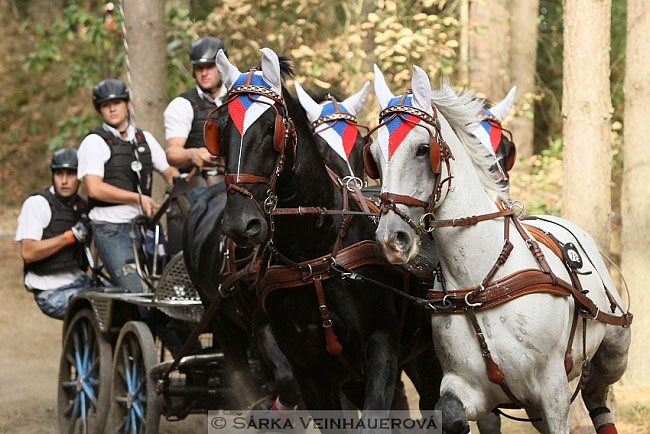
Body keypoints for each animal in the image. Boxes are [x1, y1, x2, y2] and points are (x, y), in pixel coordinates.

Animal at [211, 47, 440, 418]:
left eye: (272, 128)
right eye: (218, 130)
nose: (239, 222)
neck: (314, 255)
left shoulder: (381, 348)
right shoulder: (309, 372)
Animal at [368, 65, 632, 434]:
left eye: (422, 149)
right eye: (374, 157)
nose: (392, 238)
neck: (481, 281)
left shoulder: (553, 389)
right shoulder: (468, 386)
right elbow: (450, 413)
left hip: (613, 353)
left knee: (597, 396)